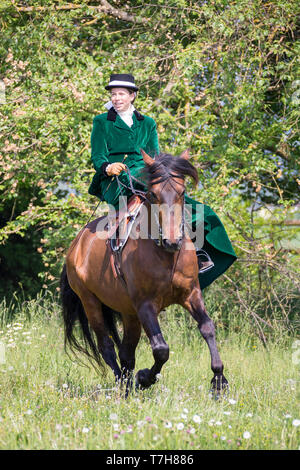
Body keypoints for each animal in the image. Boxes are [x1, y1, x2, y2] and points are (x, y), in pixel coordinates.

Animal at [60, 151, 227, 396]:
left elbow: (207, 328)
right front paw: (145, 378)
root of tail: (76, 244)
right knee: (107, 346)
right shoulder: (145, 304)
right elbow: (161, 349)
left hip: (128, 311)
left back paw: (128, 386)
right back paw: (125, 385)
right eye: (153, 194)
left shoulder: (191, 294)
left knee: (126, 352)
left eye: (182, 192)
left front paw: (219, 380)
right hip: (91, 302)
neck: (165, 255)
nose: (172, 241)